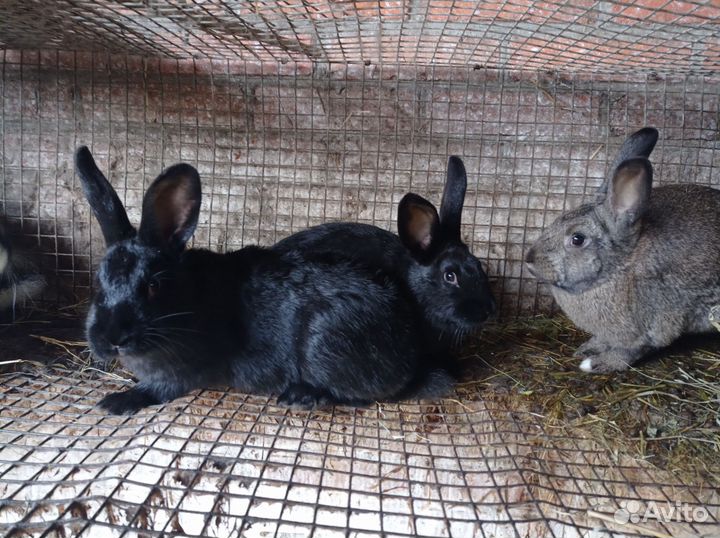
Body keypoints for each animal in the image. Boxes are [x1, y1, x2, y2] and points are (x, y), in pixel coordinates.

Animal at [76, 146, 454, 415]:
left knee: (364, 397)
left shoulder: (182, 372)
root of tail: (410, 360)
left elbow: (158, 390)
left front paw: (116, 402)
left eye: (153, 285)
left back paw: (302, 396)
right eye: (99, 282)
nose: (111, 340)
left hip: (322, 343)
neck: (184, 304)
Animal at [525, 127, 720, 373]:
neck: (622, 264)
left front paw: (597, 363)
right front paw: (588, 348)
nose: (529, 259)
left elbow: (629, 351)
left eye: (578, 239)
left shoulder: (650, 326)